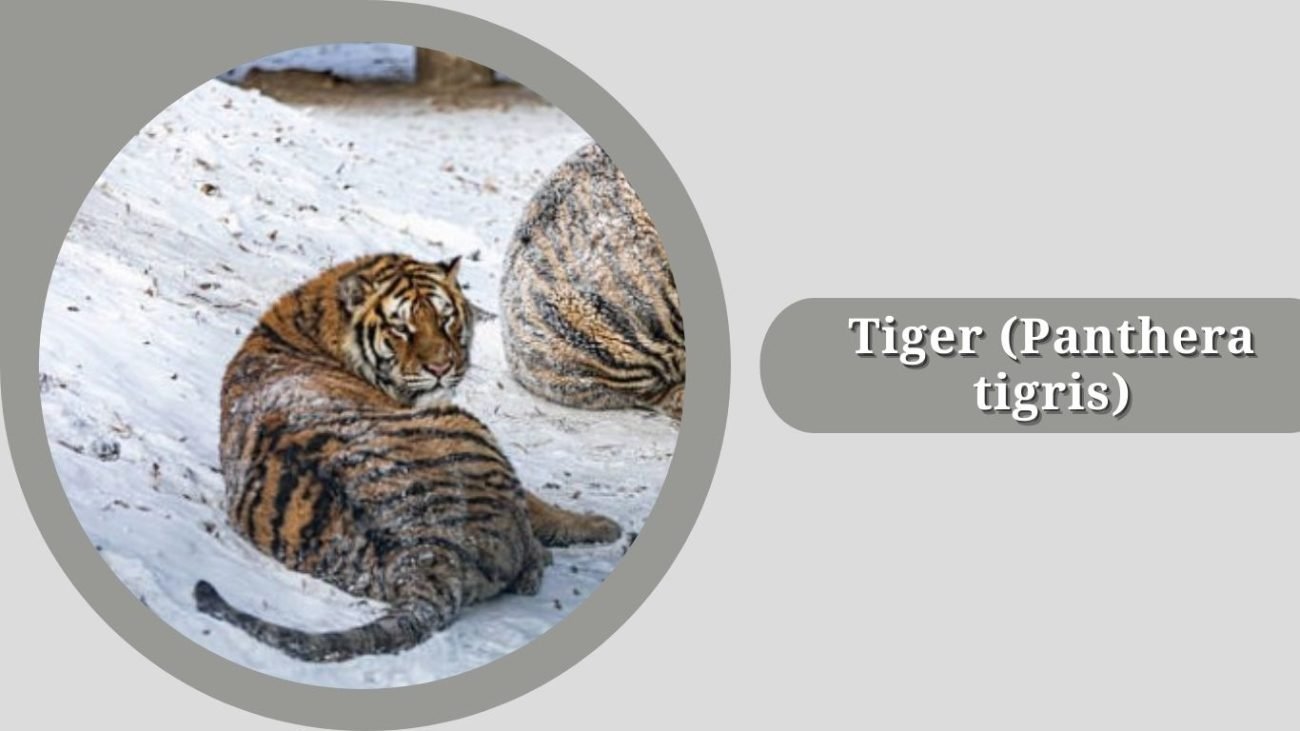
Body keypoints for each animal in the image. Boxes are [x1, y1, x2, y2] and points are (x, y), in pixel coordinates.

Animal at [193, 252, 622, 663]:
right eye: (401, 328)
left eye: (445, 318)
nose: (441, 367)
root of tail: (423, 554)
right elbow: (543, 507)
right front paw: (602, 524)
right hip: (467, 427)